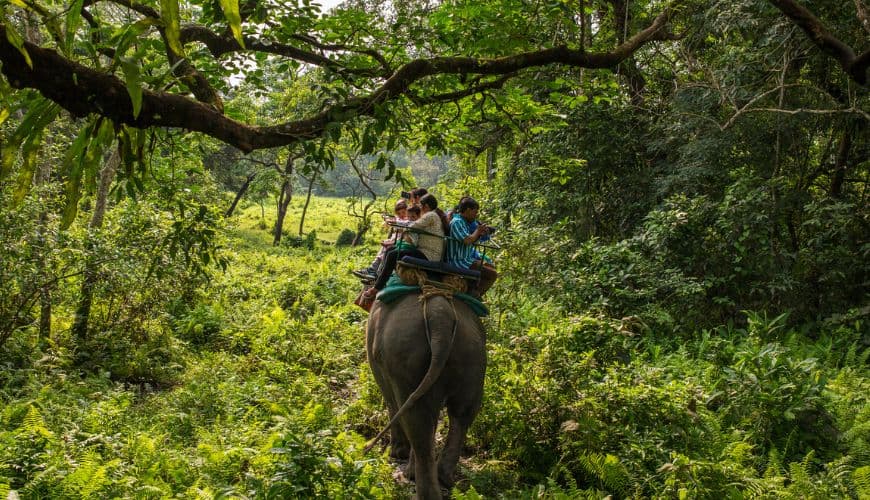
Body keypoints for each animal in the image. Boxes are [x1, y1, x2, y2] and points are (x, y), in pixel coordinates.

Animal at [365, 291, 487, 500]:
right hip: (474, 359)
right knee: (462, 415)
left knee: (417, 423)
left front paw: (397, 454)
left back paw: (418, 482)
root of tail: (440, 315)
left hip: (407, 358)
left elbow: (390, 400)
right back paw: (443, 477)